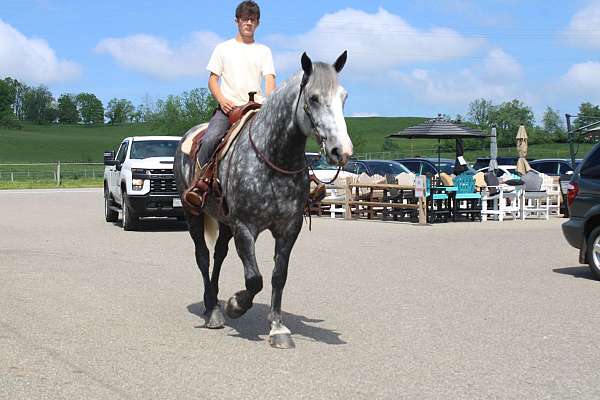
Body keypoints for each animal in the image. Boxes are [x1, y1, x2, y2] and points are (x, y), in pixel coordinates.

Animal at [172, 51, 352, 348]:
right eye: (314, 98)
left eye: (344, 97)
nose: (342, 150)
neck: (273, 158)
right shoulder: (245, 227)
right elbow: (254, 278)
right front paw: (236, 305)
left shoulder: (289, 228)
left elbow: (278, 276)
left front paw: (277, 327)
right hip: (193, 213)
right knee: (203, 256)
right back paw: (213, 311)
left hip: (224, 221)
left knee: (219, 256)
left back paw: (214, 304)